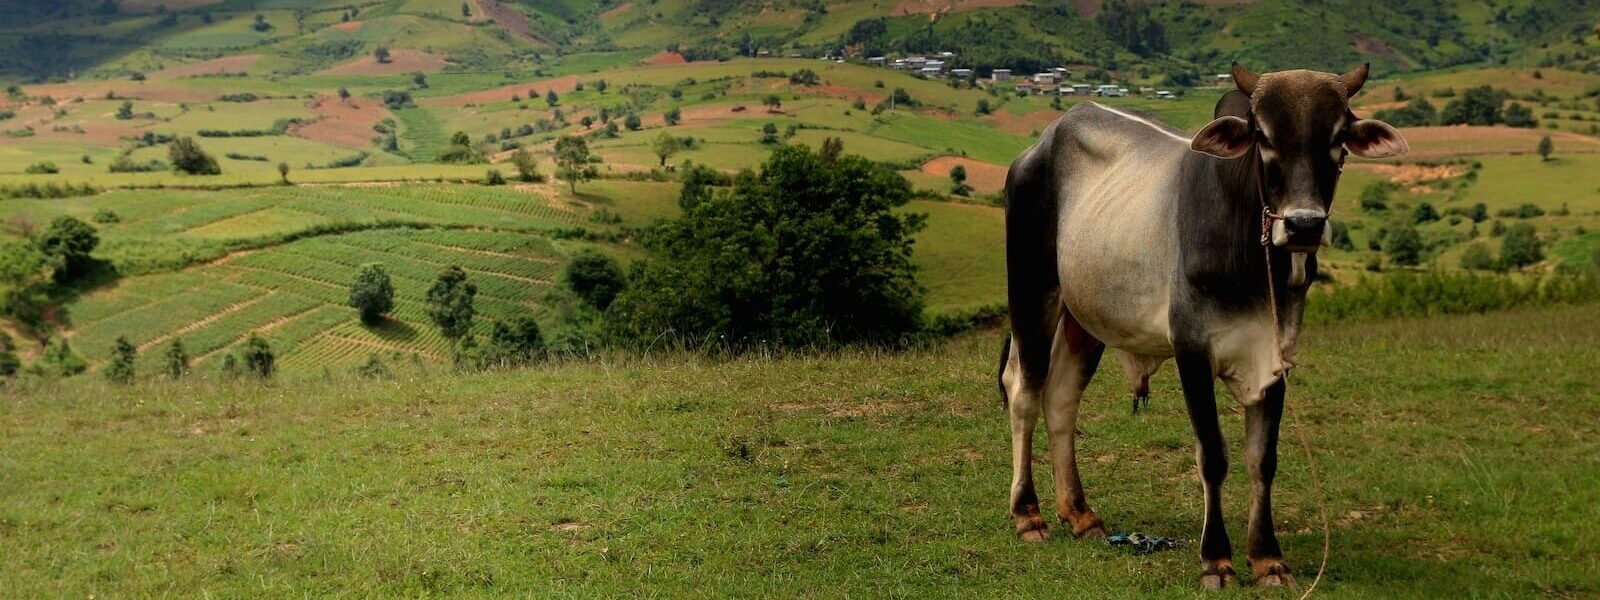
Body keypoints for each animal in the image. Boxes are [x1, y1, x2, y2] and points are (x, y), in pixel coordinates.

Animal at [997, 63, 1407, 589]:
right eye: (1263, 135)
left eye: (1338, 137)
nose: (1304, 225)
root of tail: (1042, 142)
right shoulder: (1191, 348)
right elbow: (1213, 454)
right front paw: (1217, 558)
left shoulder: (1277, 353)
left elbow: (1262, 459)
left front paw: (1267, 558)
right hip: (1033, 291)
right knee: (1025, 390)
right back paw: (1028, 514)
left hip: (1083, 318)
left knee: (1062, 398)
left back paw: (1081, 514)